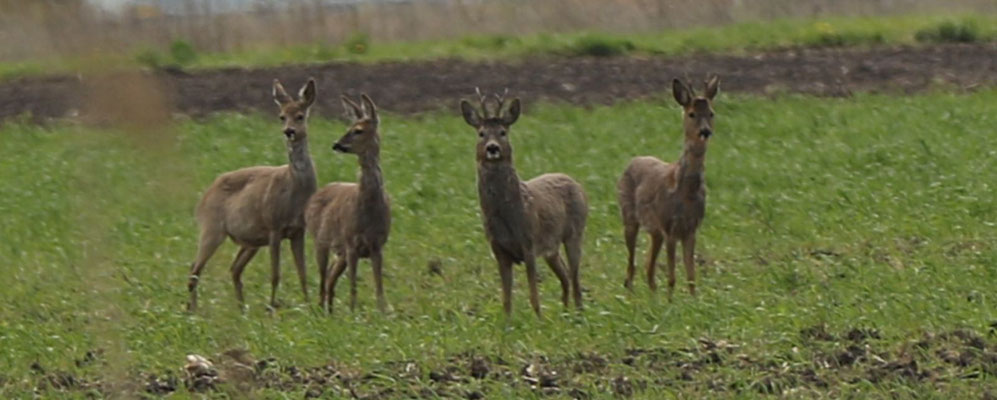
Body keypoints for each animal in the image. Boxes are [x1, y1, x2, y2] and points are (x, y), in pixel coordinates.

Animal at [183, 77, 316, 310]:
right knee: (194, 268)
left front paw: (310, 307)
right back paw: (193, 310)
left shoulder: (298, 230)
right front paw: (272, 308)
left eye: (300, 115)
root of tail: (203, 198)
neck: (296, 189)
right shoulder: (274, 226)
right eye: (281, 116)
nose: (289, 131)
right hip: (212, 227)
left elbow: (303, 274)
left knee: (234, 269)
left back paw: (241, 308)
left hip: (250, 240)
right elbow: (275, 275)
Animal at [306, 93, 392, 312]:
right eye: (349, 126)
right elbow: (353, 285)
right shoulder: (351, 242)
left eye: (358, 130)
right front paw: (353, 312)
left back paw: (330, 311)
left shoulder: (377, 245)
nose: (336, 144)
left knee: (330, 277)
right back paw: (321, 310)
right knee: (322, 278)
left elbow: (379, 285)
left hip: (340, 252)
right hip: (320, 240)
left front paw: (382, 311)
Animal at [462, 89, 592, 318]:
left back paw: (578, 314)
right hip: (551, 248)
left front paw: (539, 321)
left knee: (575, 278)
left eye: (503, 132)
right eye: (481, 133)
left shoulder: (529, 244)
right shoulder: (499, 250)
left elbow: (534, 296)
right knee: (565, 276)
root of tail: (575, 182)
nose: (492, 148)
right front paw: (507, 324)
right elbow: (506, 299)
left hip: (575, 232)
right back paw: (565, 313)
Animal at [616, 75, 716, 300]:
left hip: (655, 232)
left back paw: (653, 297)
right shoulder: (670, 225)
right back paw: (631, 297)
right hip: (629, 217)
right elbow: (672, 276)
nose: (705, 131)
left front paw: (694, 300)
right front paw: (671, 302)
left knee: (648, 267)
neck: (686, 191)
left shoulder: (691, 228)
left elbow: (691, 275)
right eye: (691, 113)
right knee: (631, 267)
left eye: (711, 113)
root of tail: (633, 160)